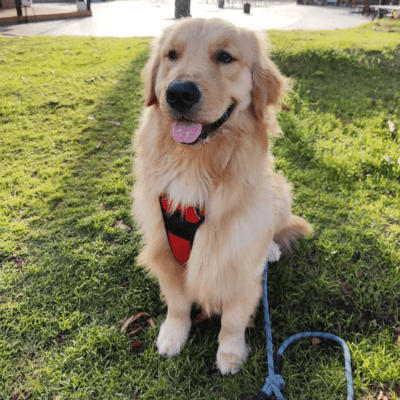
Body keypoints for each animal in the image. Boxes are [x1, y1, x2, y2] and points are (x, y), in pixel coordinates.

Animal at [133, 18, 310, 376]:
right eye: (171, 55)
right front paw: (173, 335)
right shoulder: (164, 251)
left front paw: (230, 353)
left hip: (281, 192)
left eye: (225, 57)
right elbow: (178, 303)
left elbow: (232, 319)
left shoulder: (240, 265)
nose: (179, 93)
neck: (196, 167)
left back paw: (271, 249)